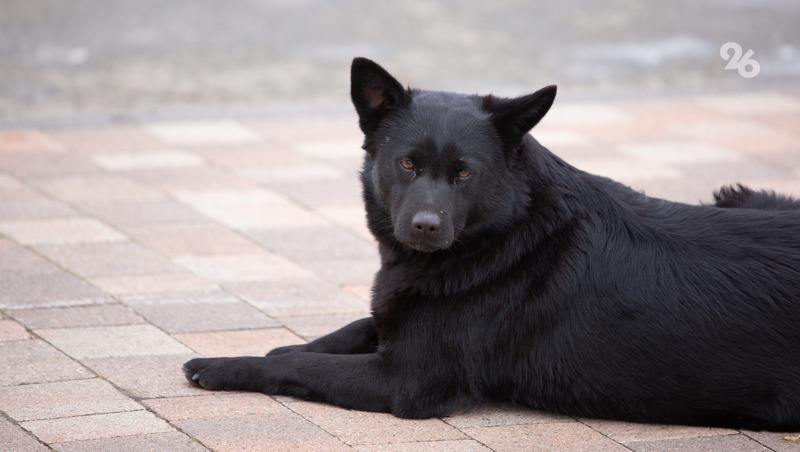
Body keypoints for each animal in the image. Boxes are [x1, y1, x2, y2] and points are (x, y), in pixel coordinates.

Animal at [183, 57, 800, 430]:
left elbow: (305, 369)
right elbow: (356, 325)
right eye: (407, 164)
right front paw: (293, 344)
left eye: (464, 173)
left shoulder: (408, 381)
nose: (425, 227)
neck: (506, 234)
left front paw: (225, 364)